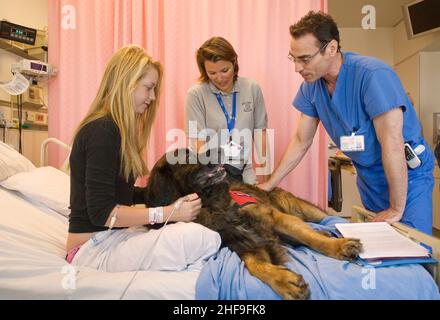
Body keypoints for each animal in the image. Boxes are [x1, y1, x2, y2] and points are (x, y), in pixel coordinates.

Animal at [144, 150, 360, 300]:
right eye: (186, 155)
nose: (218, 150)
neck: (211, 204)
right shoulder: (244, 242)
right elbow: (255, 264)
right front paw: (285, 281)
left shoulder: (274, 219)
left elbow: (310, 237)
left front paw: (338, 246)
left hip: (301, 209)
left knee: (322, 222)